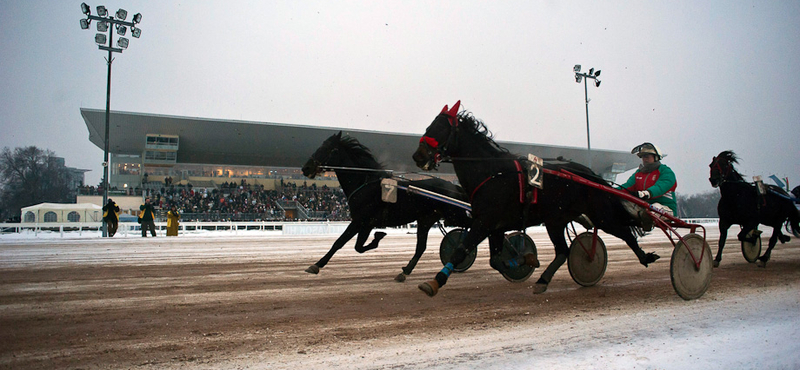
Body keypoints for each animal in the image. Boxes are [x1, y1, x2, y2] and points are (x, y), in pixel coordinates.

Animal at [304, 132, 472, 282]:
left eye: (327, 148)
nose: (306, 168)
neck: (365, 183)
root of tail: (454, 187)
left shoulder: (360, 221)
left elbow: (341, 243)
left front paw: (316, 265)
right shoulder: (365, 223)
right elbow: (356, 246)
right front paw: (378, 236)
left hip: (453, 215)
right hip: (426, 220)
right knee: (421, 247)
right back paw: (405, 272)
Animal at [410, 102, 660, 298]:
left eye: (440, 128)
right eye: (429, 126)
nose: (418, 156)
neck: (491, 171)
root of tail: (591, 174)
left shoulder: (486, 221)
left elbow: (461, 249)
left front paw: (434, 282)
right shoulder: (494, 226)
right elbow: (495, 260)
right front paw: (526, 260)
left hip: (599, 214)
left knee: (624, 232)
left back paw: (645, 256)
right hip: (556, 219)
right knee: (563, 251)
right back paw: (543, 281)